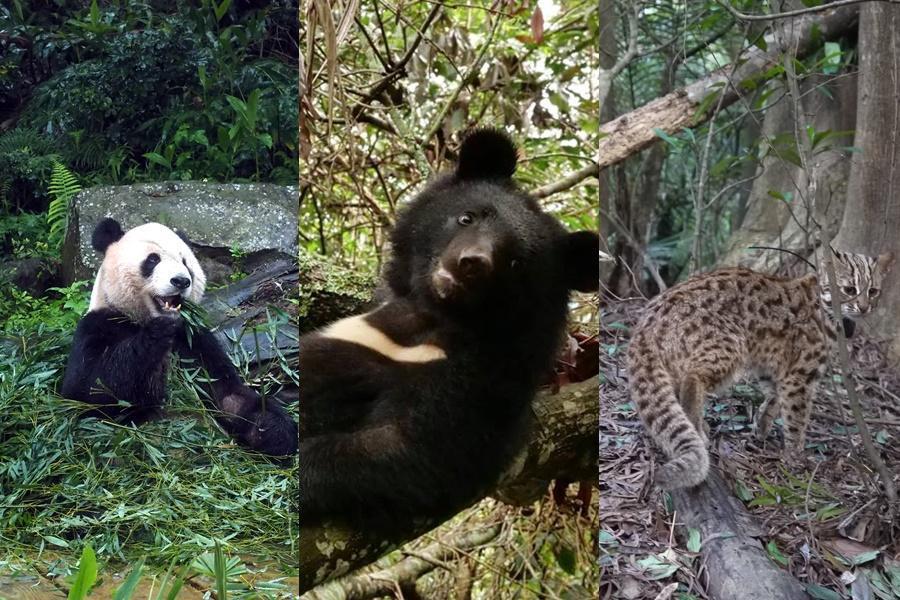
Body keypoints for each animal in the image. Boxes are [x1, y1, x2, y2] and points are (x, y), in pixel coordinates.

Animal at [62, 218, 298, 457]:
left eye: (185, 262)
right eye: (153, 260)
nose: (181, 281)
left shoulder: (194, 339)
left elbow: (227, 395)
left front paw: (273, 429)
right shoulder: (99, 325)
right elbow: (87, 391)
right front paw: (155, 336)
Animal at [298, 129, 599, 528]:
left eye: (516, 262)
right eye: (467, 218)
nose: (470, 264)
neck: (435, 315)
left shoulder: (482, 381)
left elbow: (415, 448)